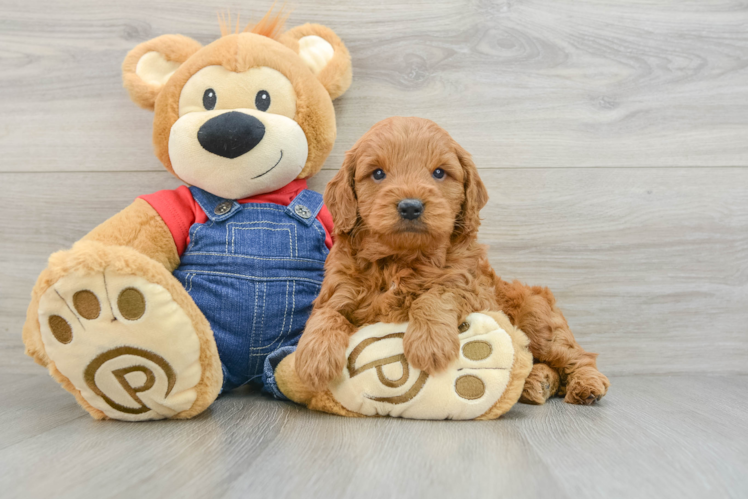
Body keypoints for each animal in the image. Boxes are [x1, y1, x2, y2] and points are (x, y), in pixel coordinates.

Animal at [292, 115, 608, 404]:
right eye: (378, 173)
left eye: (439, 173)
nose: (410, 207)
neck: (400, 260)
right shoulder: (339, 289)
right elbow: (326, 314)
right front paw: (313, 357)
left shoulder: (472, 288)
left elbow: (438, 293)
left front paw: (430, 343)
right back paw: (537, 382)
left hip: (539, 322)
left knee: (576, 355)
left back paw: (585, 385)